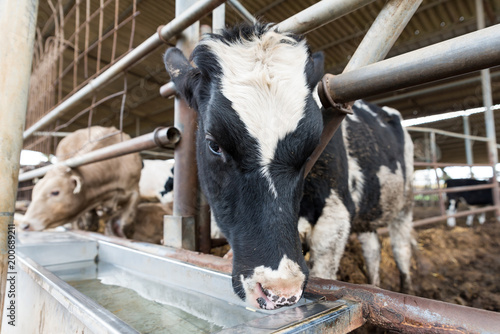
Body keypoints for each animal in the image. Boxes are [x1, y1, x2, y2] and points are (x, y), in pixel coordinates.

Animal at [164, 22, 414, 310]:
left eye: (313, 146)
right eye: (214, 145)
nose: (280, 290)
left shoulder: (335, 219)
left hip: (405, 204)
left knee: (402, 249)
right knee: (373, 249)